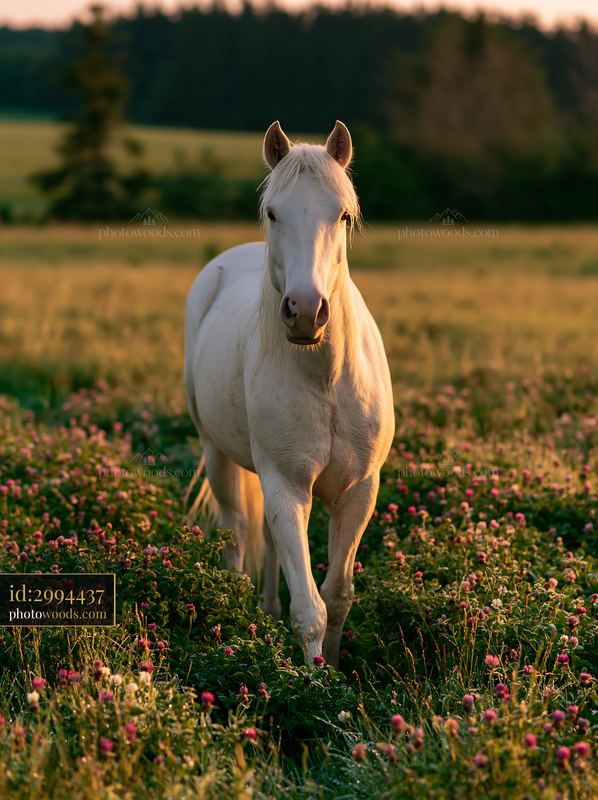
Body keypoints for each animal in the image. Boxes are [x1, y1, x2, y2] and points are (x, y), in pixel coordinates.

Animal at [184, 120, 394, 666]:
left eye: (342, 215)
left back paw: (266, 611)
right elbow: (311, 609)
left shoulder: (358, 491)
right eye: (272, 213)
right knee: (237, 536)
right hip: (217, 455)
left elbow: (338, 596)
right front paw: (315, 679)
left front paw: (336, 669)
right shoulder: (287, 486)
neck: (326, 378)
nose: (304, 311)